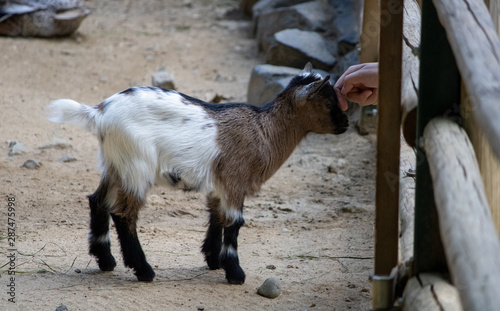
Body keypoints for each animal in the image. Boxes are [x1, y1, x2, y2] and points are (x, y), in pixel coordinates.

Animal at [48, 63, 350, 286]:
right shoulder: (236, 180)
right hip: (136, 166)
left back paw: (106, 261)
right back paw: (143, 270)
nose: (346, 124)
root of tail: (99, 113)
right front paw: (235, 273)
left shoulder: (220, 183)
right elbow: (234, 222)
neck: (264, 130)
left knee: (97, 200)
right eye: (327, 102)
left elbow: (216, 215)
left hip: (114, 165)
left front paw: (213, 260)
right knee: (124, 214)